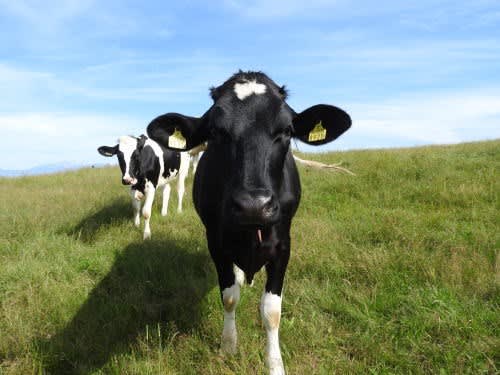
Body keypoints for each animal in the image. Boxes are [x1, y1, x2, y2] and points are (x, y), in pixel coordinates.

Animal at [147, 72, 352, 374]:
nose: (254, 205)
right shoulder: (216, 242)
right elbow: (229, 296)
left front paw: (275, 363)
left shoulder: (283, 245)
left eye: (287, 130)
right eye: (216, 132)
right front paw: (228, 347)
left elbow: (271, 310)